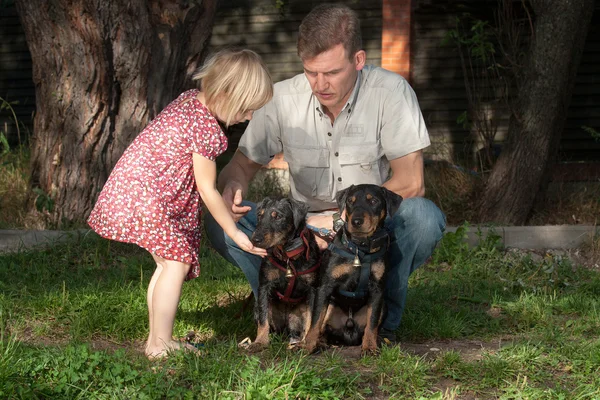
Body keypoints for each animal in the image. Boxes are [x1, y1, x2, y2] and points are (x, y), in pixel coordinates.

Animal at [245, 196, 322, 350]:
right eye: (259, 215)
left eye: (278, 216)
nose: (255, 239)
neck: (287, 256)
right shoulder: (264, 286)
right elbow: (263, 319)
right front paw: (260, 342)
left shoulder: (312, 289)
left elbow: (310, 320)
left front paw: (306, 344)